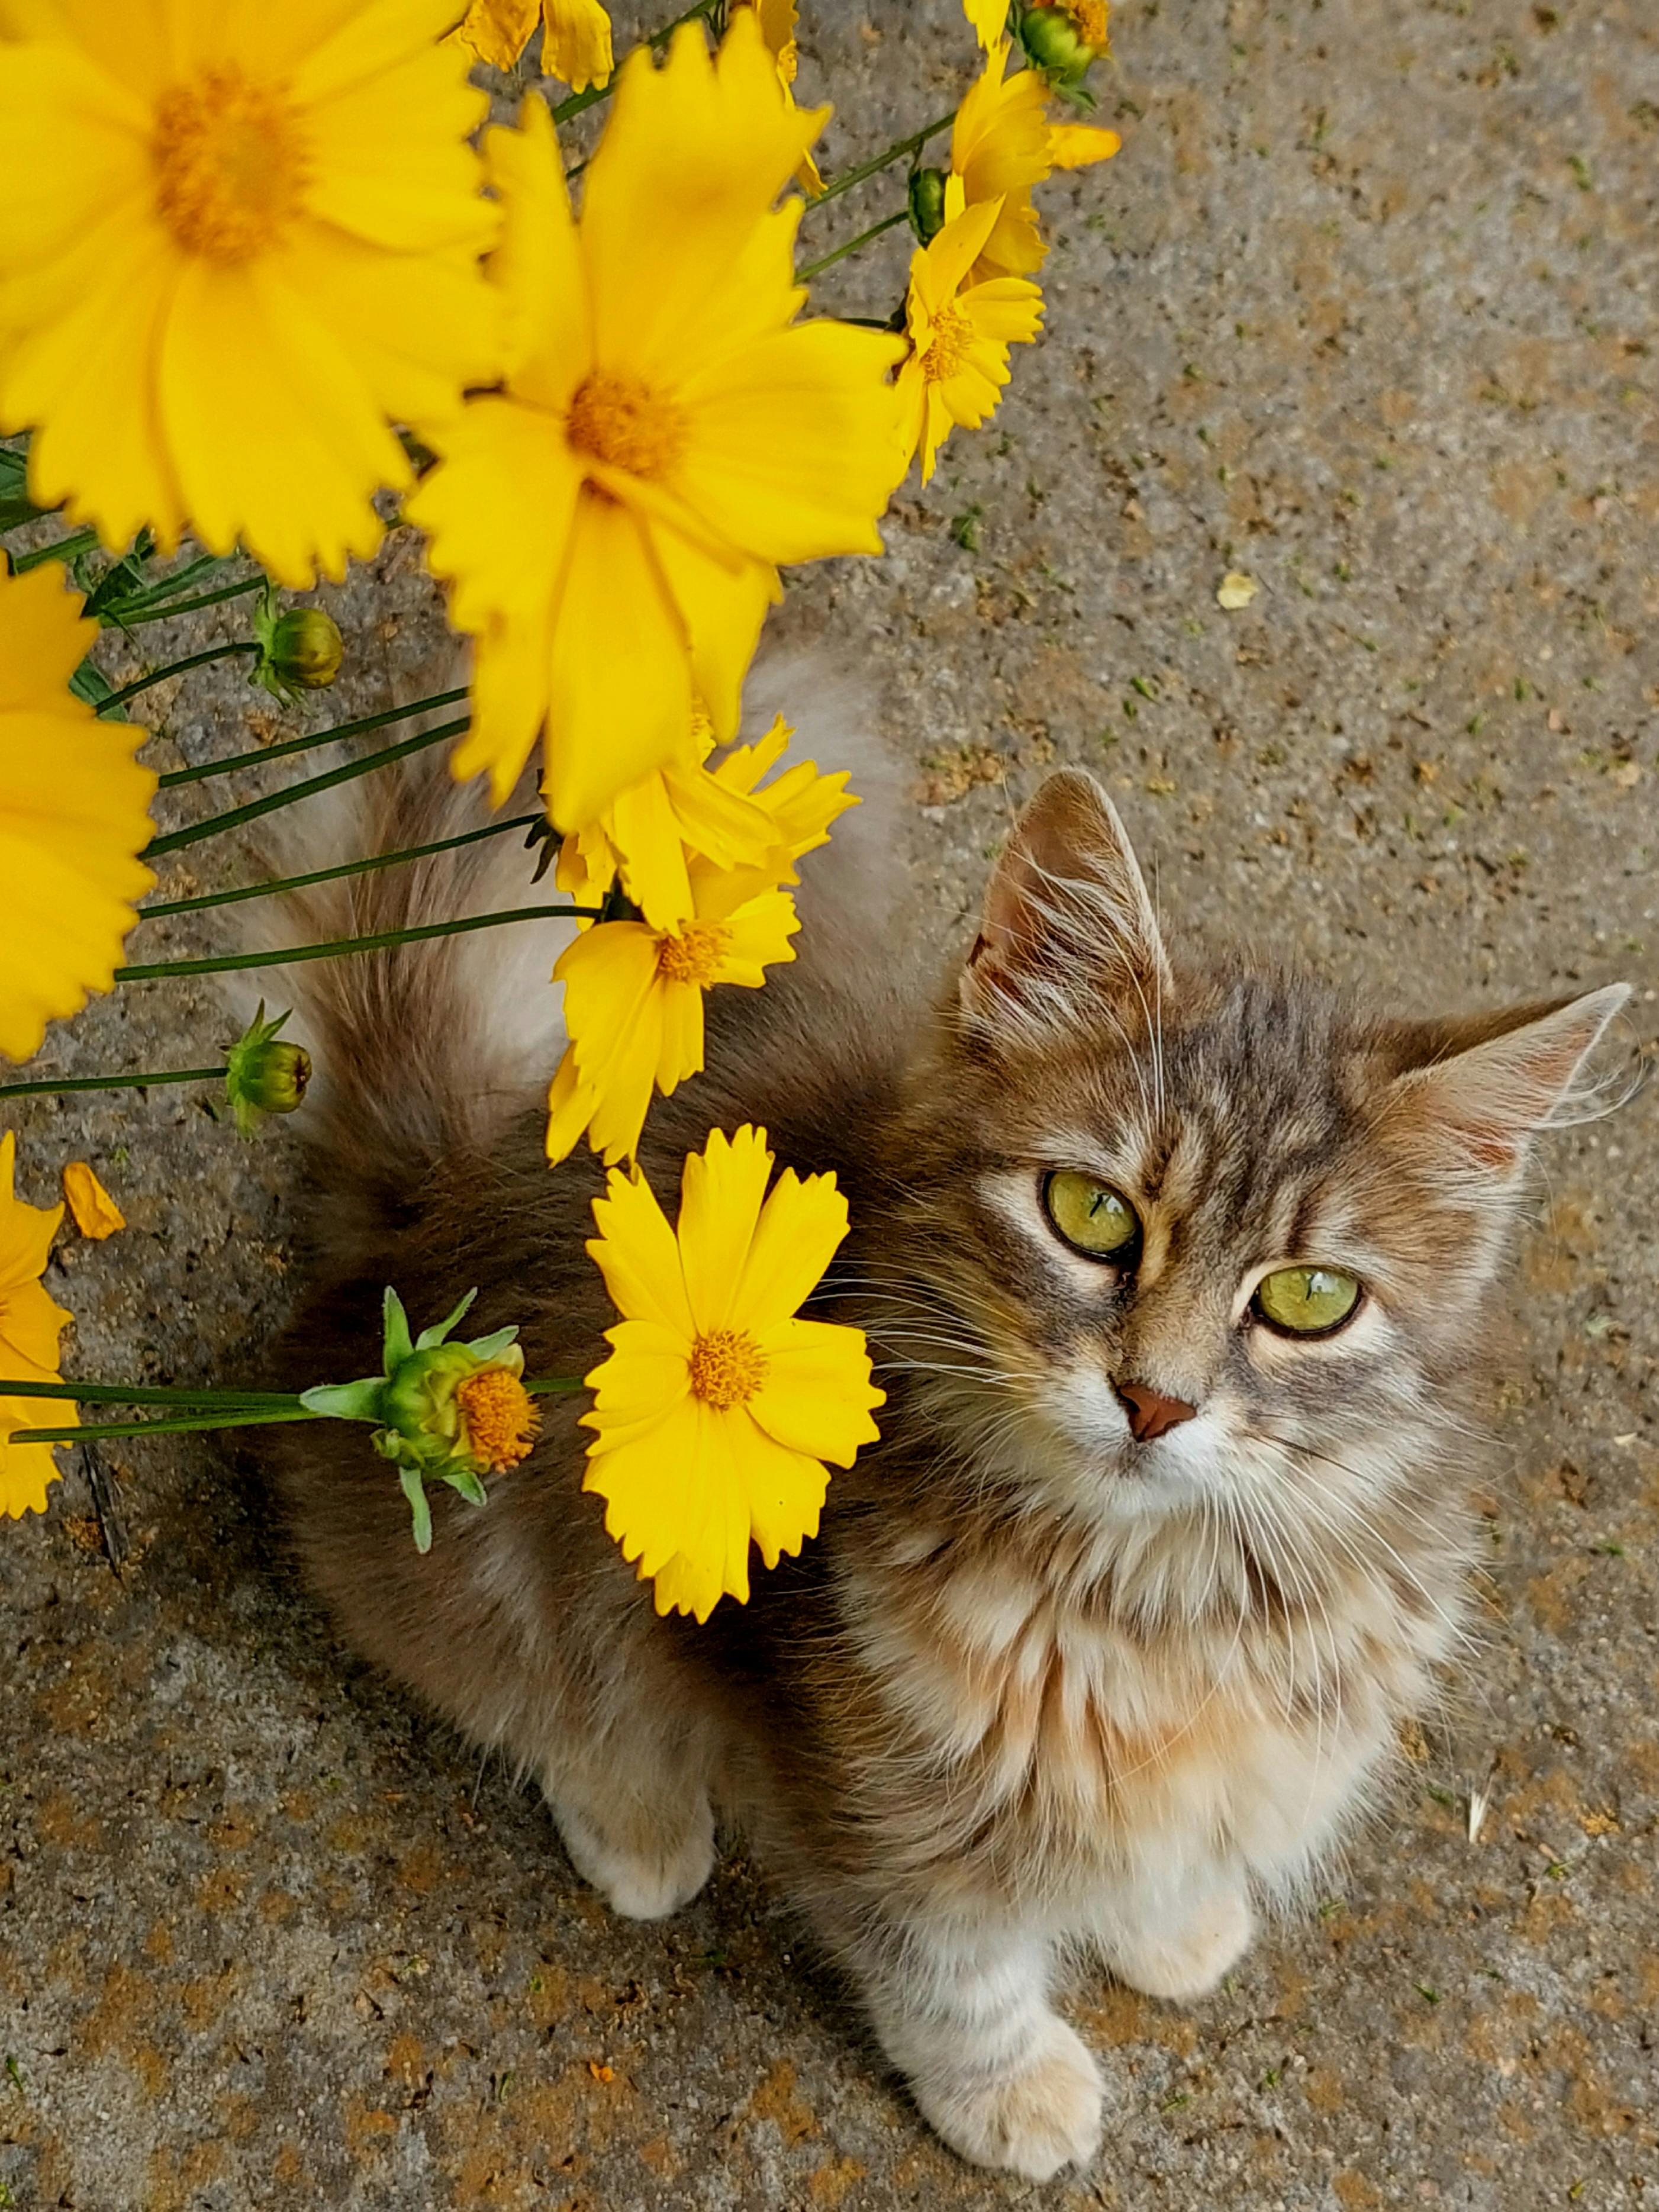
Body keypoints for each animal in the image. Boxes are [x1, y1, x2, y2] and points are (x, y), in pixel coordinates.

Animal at [266, 690, 1628, 2176]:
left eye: (1308, 1298)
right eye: (1091, 1213)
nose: (1154, 1399)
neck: (1156, 1609)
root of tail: (424, 1203)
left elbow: (1169, 1849)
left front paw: (1171, 1922)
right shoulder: (861, 1777)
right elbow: (952, 1971)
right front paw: (1013, 2090)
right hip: (521, 1548)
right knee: (531, 1690)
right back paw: (642, 1826)